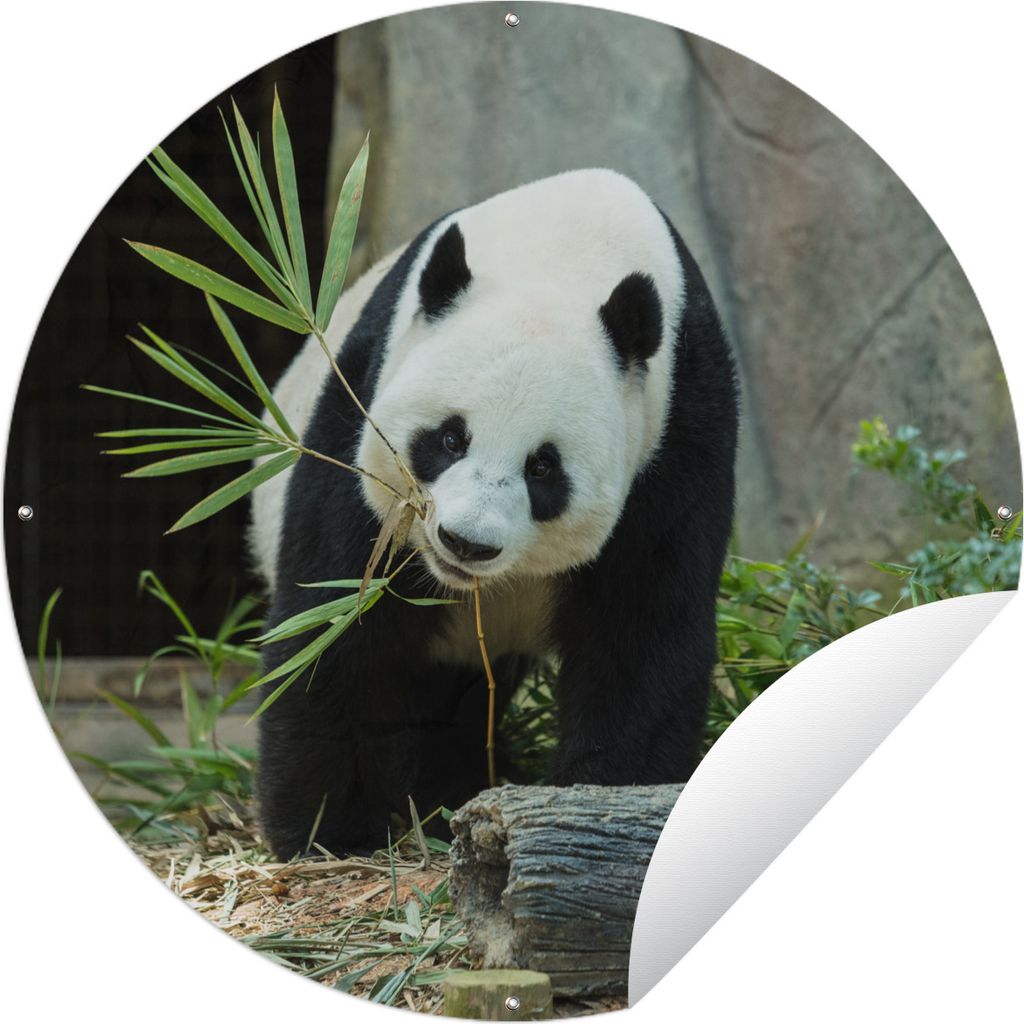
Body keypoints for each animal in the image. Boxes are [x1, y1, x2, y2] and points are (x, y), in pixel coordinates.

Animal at [250, 169, 738, 859]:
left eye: (544, 469)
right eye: (450, 438)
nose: (465, 543)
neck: (566, 249)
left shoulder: (678, 432)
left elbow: (642, 631)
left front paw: (599, 804)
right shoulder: (361, 402)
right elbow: (337, 621)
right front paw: (327, 833)